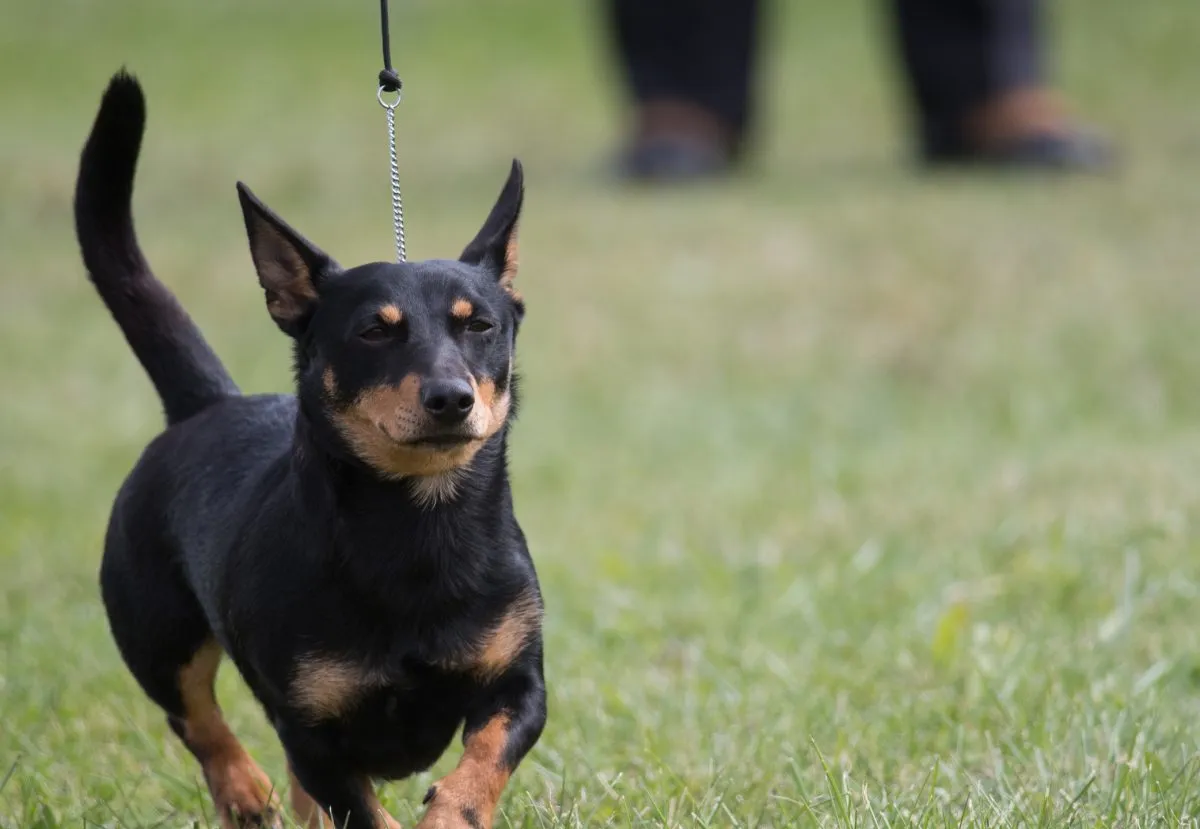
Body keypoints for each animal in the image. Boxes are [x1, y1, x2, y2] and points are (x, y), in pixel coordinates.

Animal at [79, 71, 552, 829]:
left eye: (478, 325)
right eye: (373, 332)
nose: (451, 397)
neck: (416, 526)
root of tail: (207, 403)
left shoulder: (519, 684)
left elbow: (483, 762)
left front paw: (451, 811)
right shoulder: (309, 729)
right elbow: (356, 806)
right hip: (156, 635)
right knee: (198, 719)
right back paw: (244, 792)